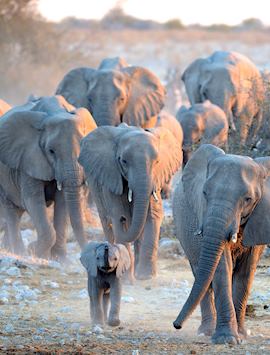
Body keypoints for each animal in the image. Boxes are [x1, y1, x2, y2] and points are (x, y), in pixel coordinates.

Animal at [0, 96, 97, 260]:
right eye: (51, 151)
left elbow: (62, 202)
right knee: (11, 211)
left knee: (17, 212)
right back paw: (19, 253)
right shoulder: (29, 158)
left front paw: (60, 260)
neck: (55, 111)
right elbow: (33, 199)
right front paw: (36, 252)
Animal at [79, 125, 182, 280]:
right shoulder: (112, 178)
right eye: (124, 161)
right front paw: (126, 279)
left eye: (157, 162)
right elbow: (117, 217)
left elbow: (153, 216)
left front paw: (146, 276)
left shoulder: (155, 179)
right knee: (107, 222)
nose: (123, 219)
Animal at [173, 144, 270, 344]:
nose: (176, 325)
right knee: (201, 275)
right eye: (204, 193)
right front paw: (226, 339)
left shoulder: (259, 217)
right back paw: (206, 332)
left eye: (248, 199)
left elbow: (246, 272)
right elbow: (221, 267)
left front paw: (240, 336)